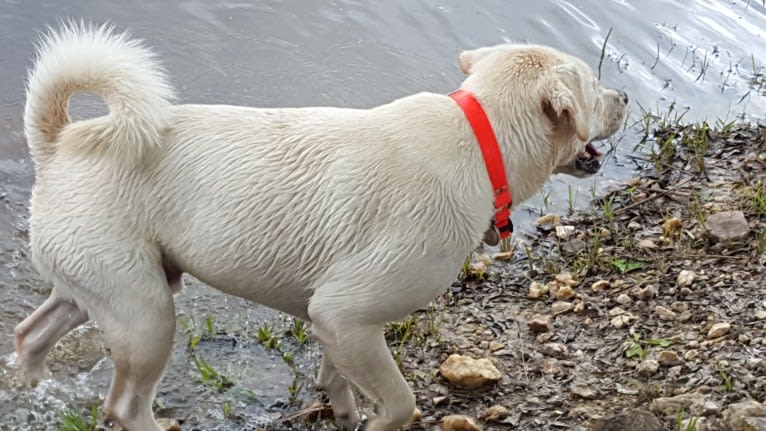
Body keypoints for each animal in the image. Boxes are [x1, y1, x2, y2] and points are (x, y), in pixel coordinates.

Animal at [13, 22, 632, 431]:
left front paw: (344, 410)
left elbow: (337, 377)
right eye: (594, 85)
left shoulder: (338, 321)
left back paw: (33, 384)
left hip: (107, 291)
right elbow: (399, 402)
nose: (626, 96)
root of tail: (58, 144)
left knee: (31, 333)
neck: (482, 143)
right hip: (145, 316)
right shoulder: (347, 315)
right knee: (122, 405)